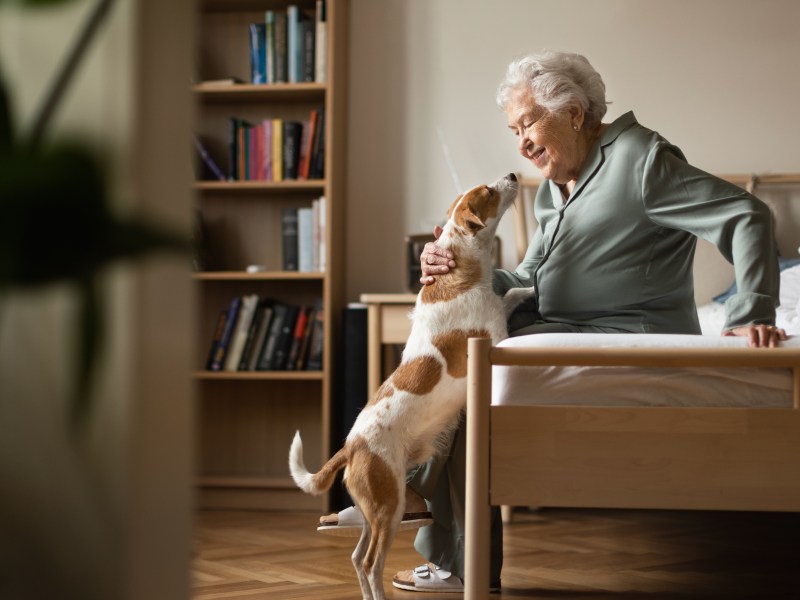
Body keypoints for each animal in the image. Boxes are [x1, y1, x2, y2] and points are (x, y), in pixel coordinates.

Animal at [288, 173, 532, 600]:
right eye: (488, 191)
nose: (514, 175)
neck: (458, 271)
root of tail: (351, 446)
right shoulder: (495, 339)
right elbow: (506, 312)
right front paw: (529, 291)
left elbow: (509, 295)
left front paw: (525, 289)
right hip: (389, 506)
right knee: (371, 563)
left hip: (374, 511)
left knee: (357, 559)